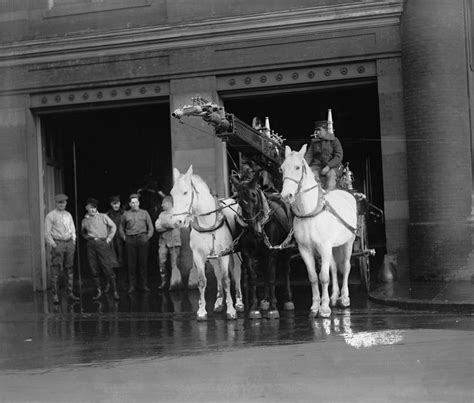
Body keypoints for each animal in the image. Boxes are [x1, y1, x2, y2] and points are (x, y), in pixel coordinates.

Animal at [171, 165, 244, 322]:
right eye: (172, 193)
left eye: (185, 192)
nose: (177, 221)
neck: (208, 223)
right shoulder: (198, 255)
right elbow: (202, 281)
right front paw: (201, 311)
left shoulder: (224, 254)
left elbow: (226, 279)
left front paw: (231, 310)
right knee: (217, 274)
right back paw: (219, 302)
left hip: (236, 253)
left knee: (236, 273)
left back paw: (239, 302)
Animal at [231, 175, 294, 320]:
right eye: (240, 200)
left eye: (254, 195)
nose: (256, 230)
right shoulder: (247, 253)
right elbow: (254, 278)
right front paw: (254, 308)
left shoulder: (271, 251)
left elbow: (271, 278)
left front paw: (273, 309)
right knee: (265, 271)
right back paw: (265, 300)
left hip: (285, 250)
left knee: (285, 271)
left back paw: (287, 300)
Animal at [280, 145, 358, 318]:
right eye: (281, 168)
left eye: (297, 167)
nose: (286, 196)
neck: (310, 212)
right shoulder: (305, 249)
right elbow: (313, 277)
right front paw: (315, 306)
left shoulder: (324, 246)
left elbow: (323, 277)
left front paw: (324, 308)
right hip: (333, 247)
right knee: (334, 268)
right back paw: (334, 296)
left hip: (348, 243)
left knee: (346, 267)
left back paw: (344, 298)